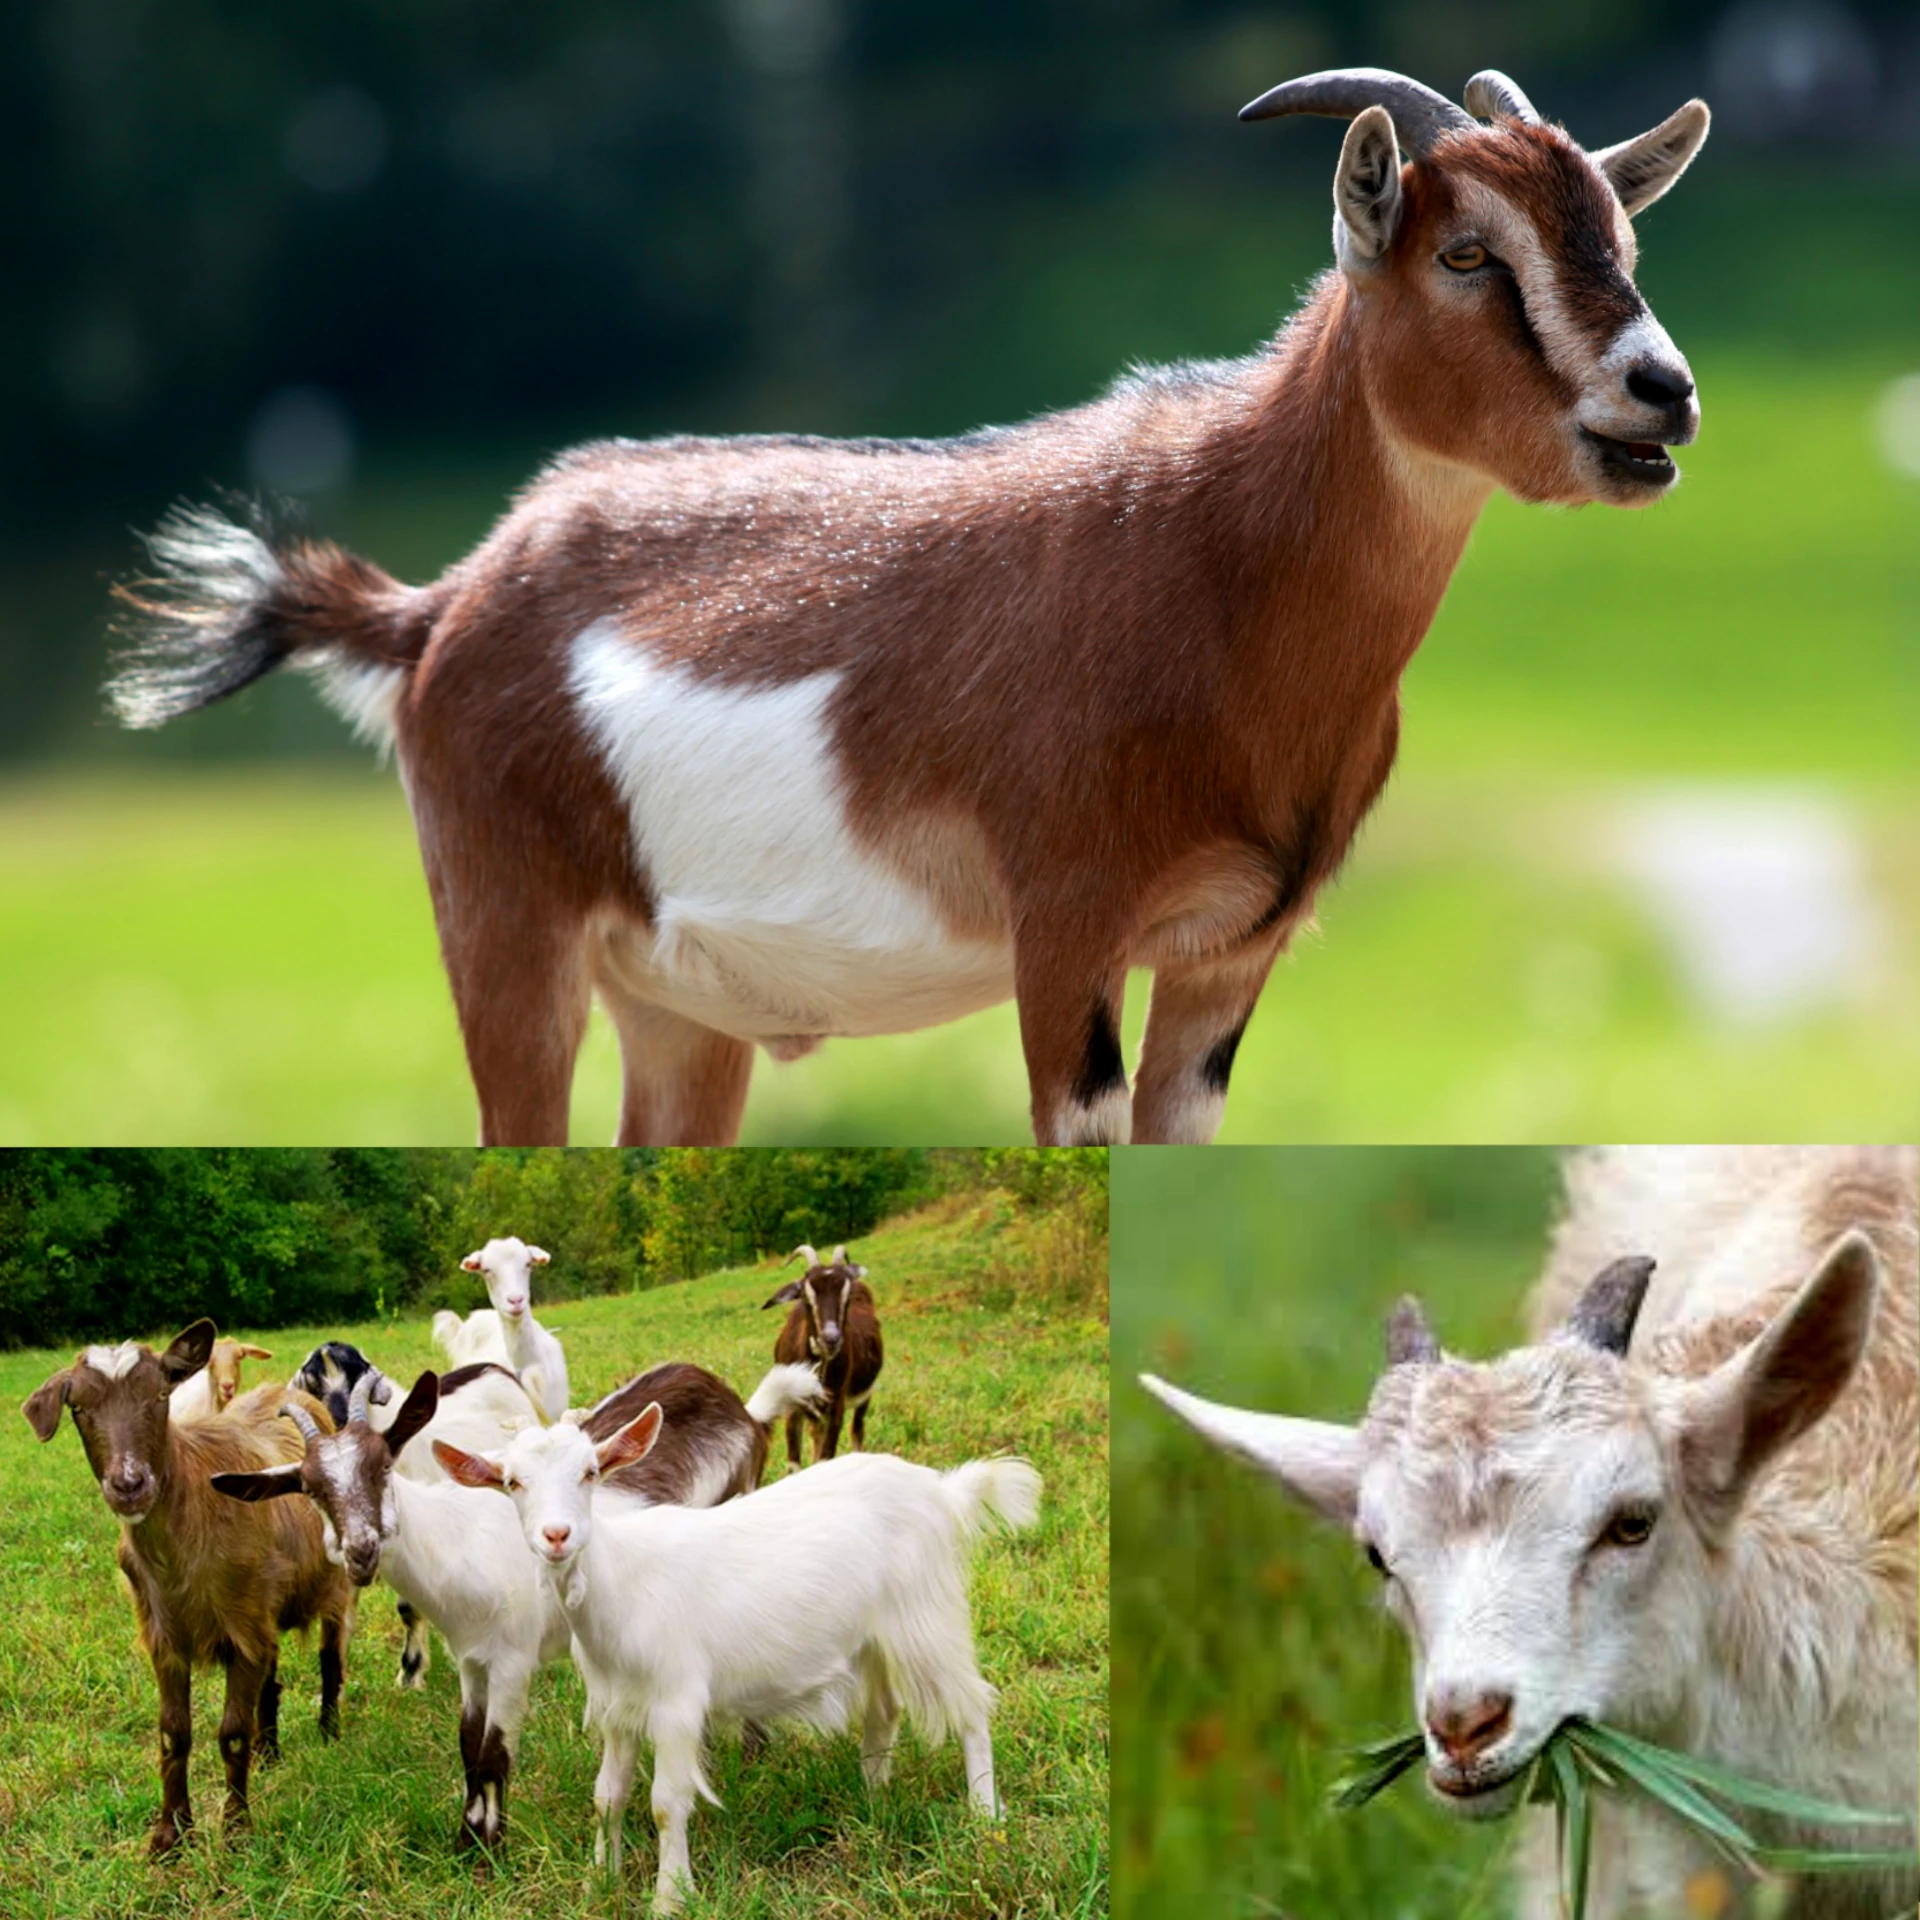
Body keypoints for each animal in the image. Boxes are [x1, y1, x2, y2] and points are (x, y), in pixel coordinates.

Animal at [21, 1321, 355, 1856]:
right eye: (79, 1407)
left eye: (161, 1395)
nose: (129, 1485)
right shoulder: (166, 1633)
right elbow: (172, 1733)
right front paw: (170, 1834)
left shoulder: (241, 1626)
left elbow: (231, 1732)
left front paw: (236, 1830)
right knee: (271, 1677)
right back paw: (269, 1752)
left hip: (332, 1585)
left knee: (330, 1659)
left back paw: (328, 1732)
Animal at [105, 69, 1709, 1148]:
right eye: (1465, 252)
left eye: (1621, 241)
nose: (1663, 393)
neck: (1216, 565)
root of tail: (440, 606)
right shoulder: (1066, 928)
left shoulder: (1227, 956)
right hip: (506, 929)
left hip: (677, 1011)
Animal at [216, 1358, 822, 1854]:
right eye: (311, 1488)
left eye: (383, 1465)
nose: (362, 1550)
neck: (460, 1541)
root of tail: (742, 1408)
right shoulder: (471, 1658)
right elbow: (467, 1745)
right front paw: (466, 1841)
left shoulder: (513, 1657)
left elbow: (493, 1752)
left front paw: (491, 1849)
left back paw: (752, 1752)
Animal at [436, 1408, 1040, 1911]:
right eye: (512, 1483)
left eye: (590, 1472)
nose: (557, 1536)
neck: (621, 1582)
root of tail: (940, 1490)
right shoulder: (616, 1707)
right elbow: (607, 1797)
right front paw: (598, 1882)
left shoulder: (676, 1699)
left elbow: (666, 1802)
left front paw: (670, 1898)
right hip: (874, 1636)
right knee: (885, 1710)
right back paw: (873, 1800)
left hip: (926, 1615)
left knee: (972, 1707)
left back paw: (985, 1815)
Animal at [762, 1242, 883, 1467]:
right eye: (805, 1297)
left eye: (847, 1297)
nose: (830, 1338)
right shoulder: (793, 1409)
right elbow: (794, 1462)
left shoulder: (836, 1406)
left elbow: (826, 1455)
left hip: (864, 1395)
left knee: (857, 1429)